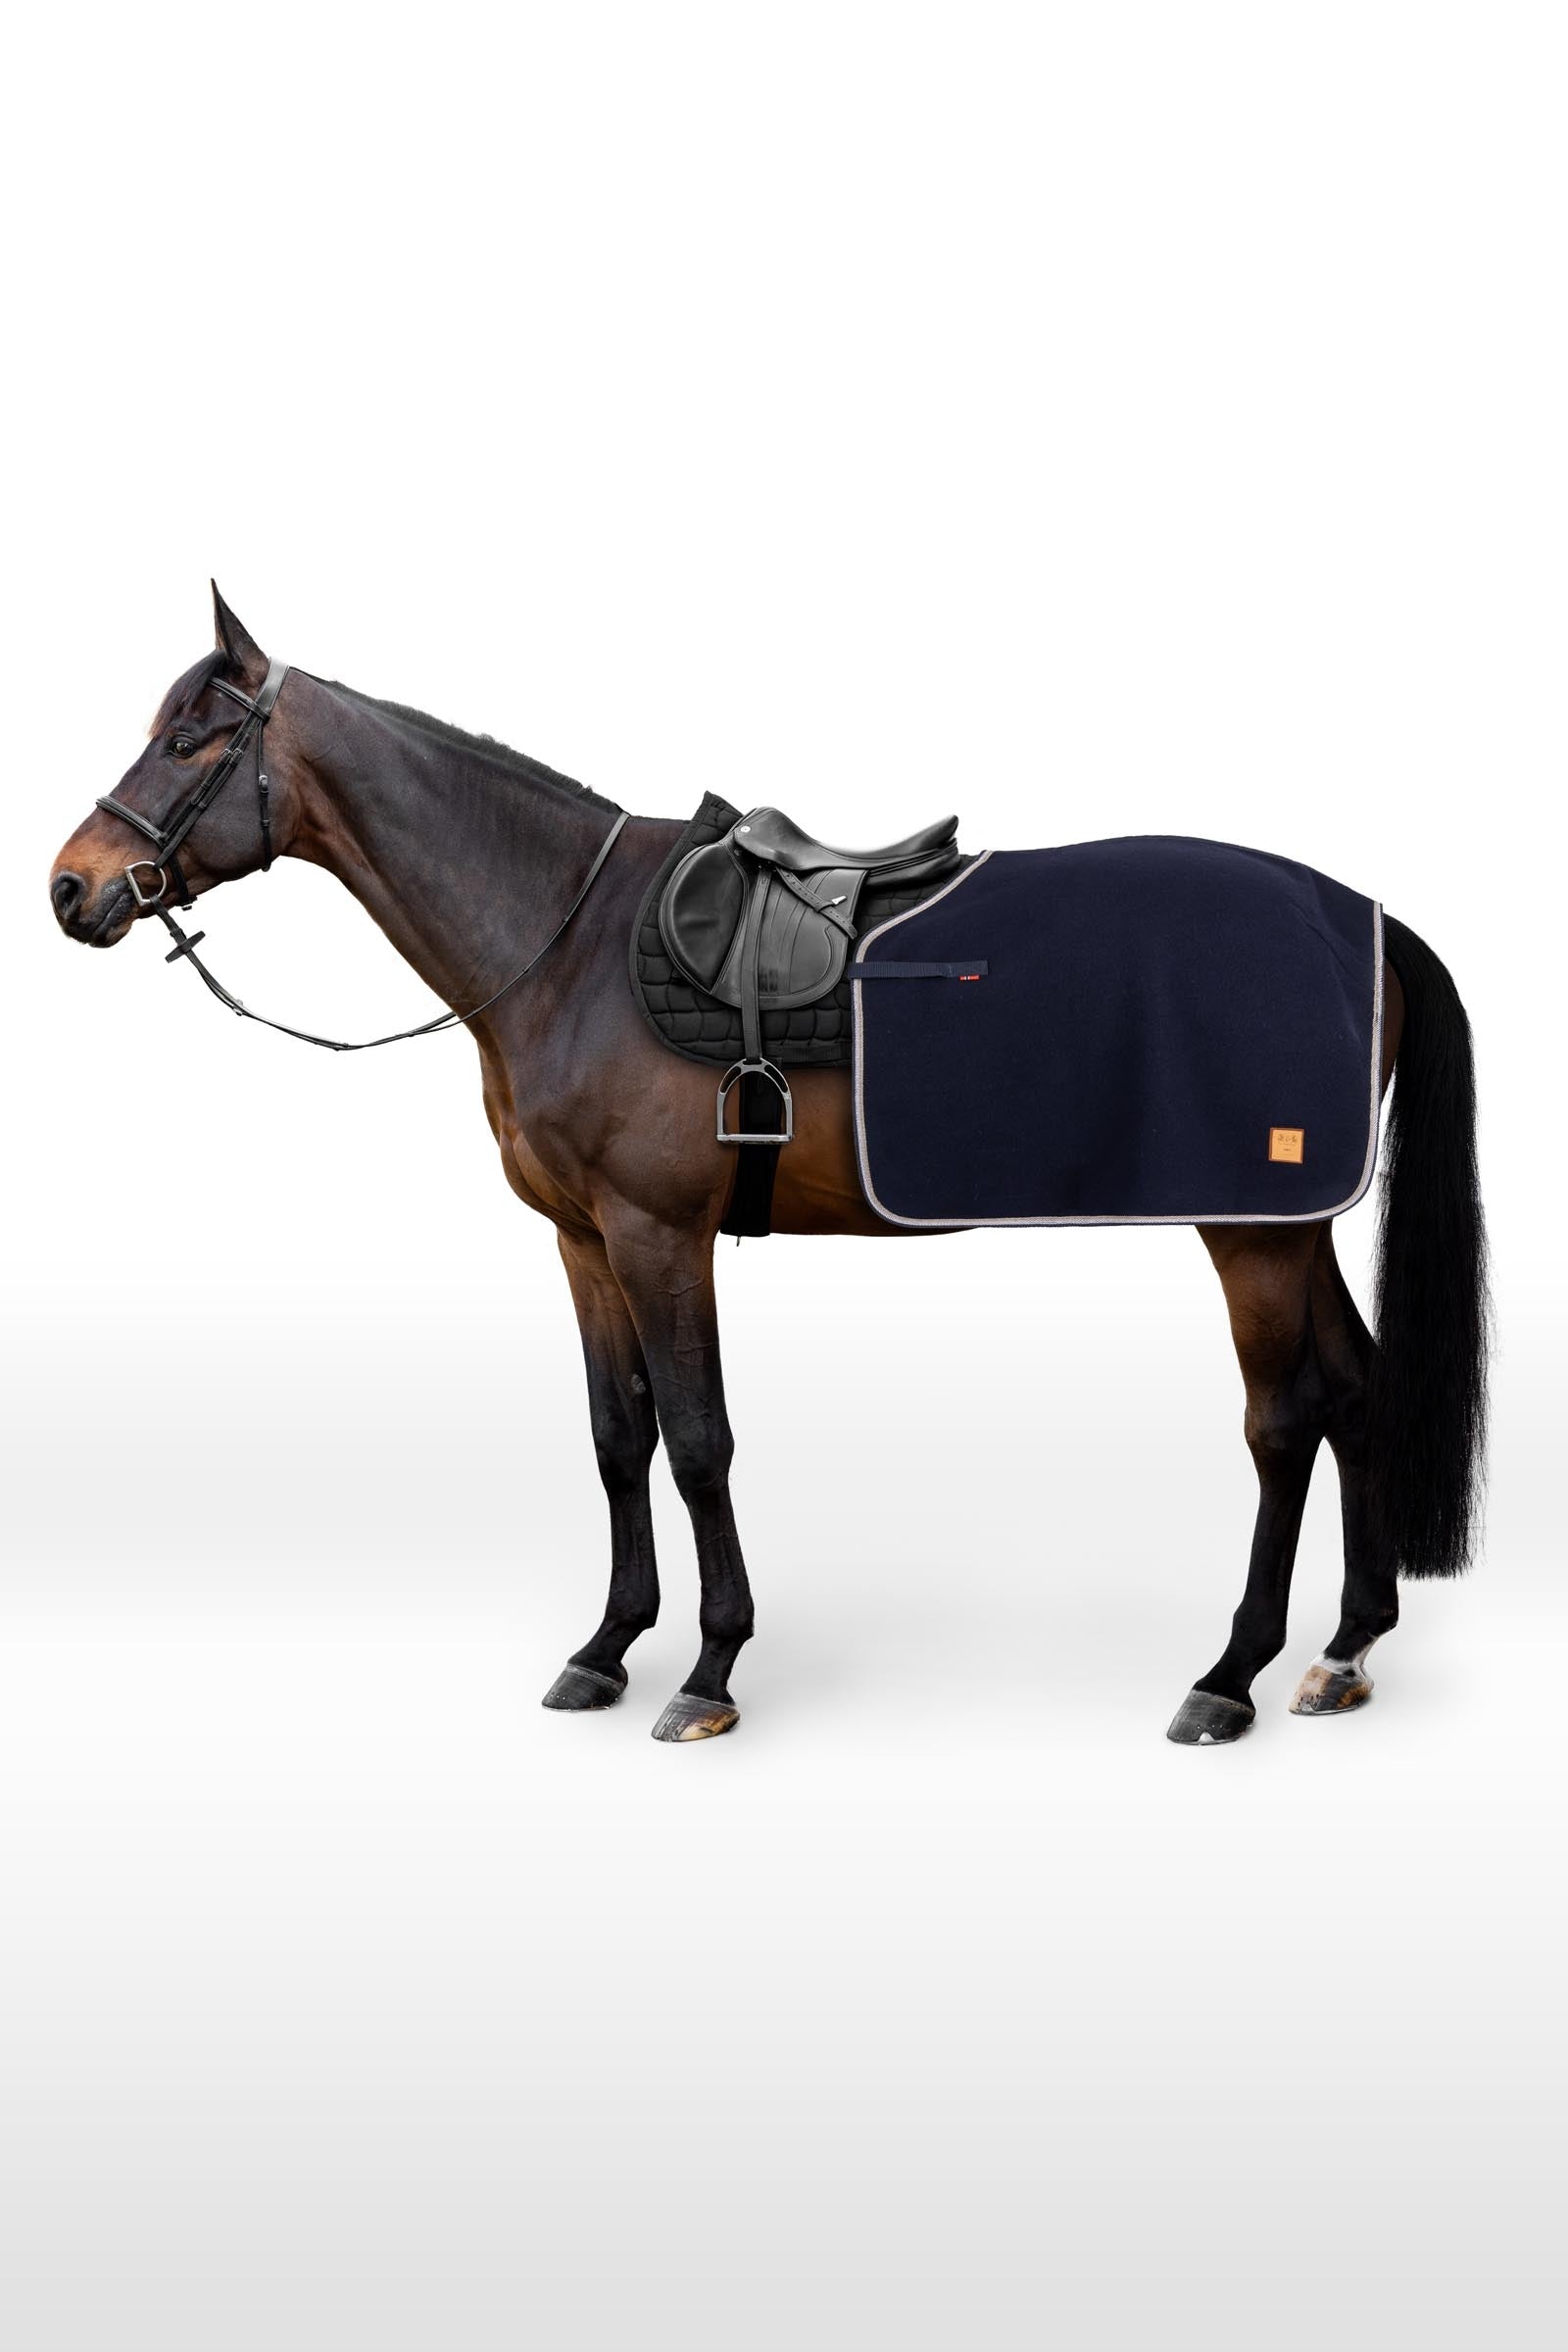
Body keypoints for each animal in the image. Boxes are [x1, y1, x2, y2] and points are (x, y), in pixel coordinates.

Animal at [49, 590, 1488, 1744]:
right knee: (1355, 1390)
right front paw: (606, 1648)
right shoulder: (583, 1241)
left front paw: (709, 1670)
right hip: (1292, 1221)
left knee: (1284, 1419)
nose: (72, 888)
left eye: (192, 739)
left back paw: (1232, 1675)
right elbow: (617, 1437)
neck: (566, 943)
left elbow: (698, 1442)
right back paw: (1344, 1652)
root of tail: (1356, 918)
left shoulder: (658, 1233)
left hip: (1251, 1229)